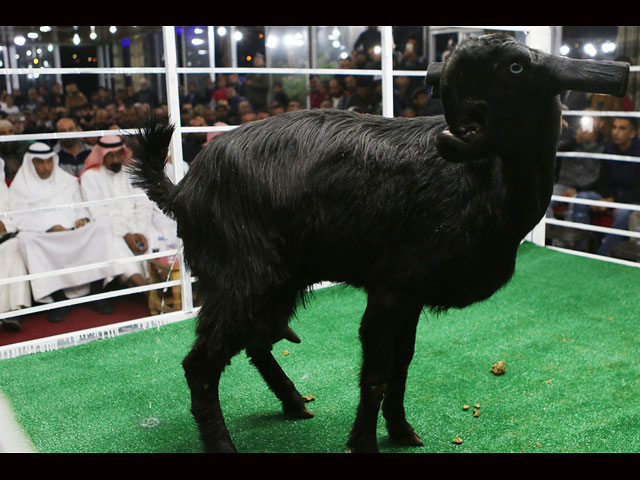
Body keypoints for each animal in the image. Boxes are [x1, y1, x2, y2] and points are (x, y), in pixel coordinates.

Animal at [126, 34, 632, 454]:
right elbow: (374, 375)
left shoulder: (412, 293)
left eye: (515, 69)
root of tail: (181, 188)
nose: (454, 130)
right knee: (202, 365)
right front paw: (364, 444)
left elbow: (400, 369)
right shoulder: (389, 290)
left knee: (253, 342)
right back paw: (224, 445)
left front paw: (403, 432)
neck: (484, 183)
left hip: (276, 280)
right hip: (242, 275)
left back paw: (294, 402)